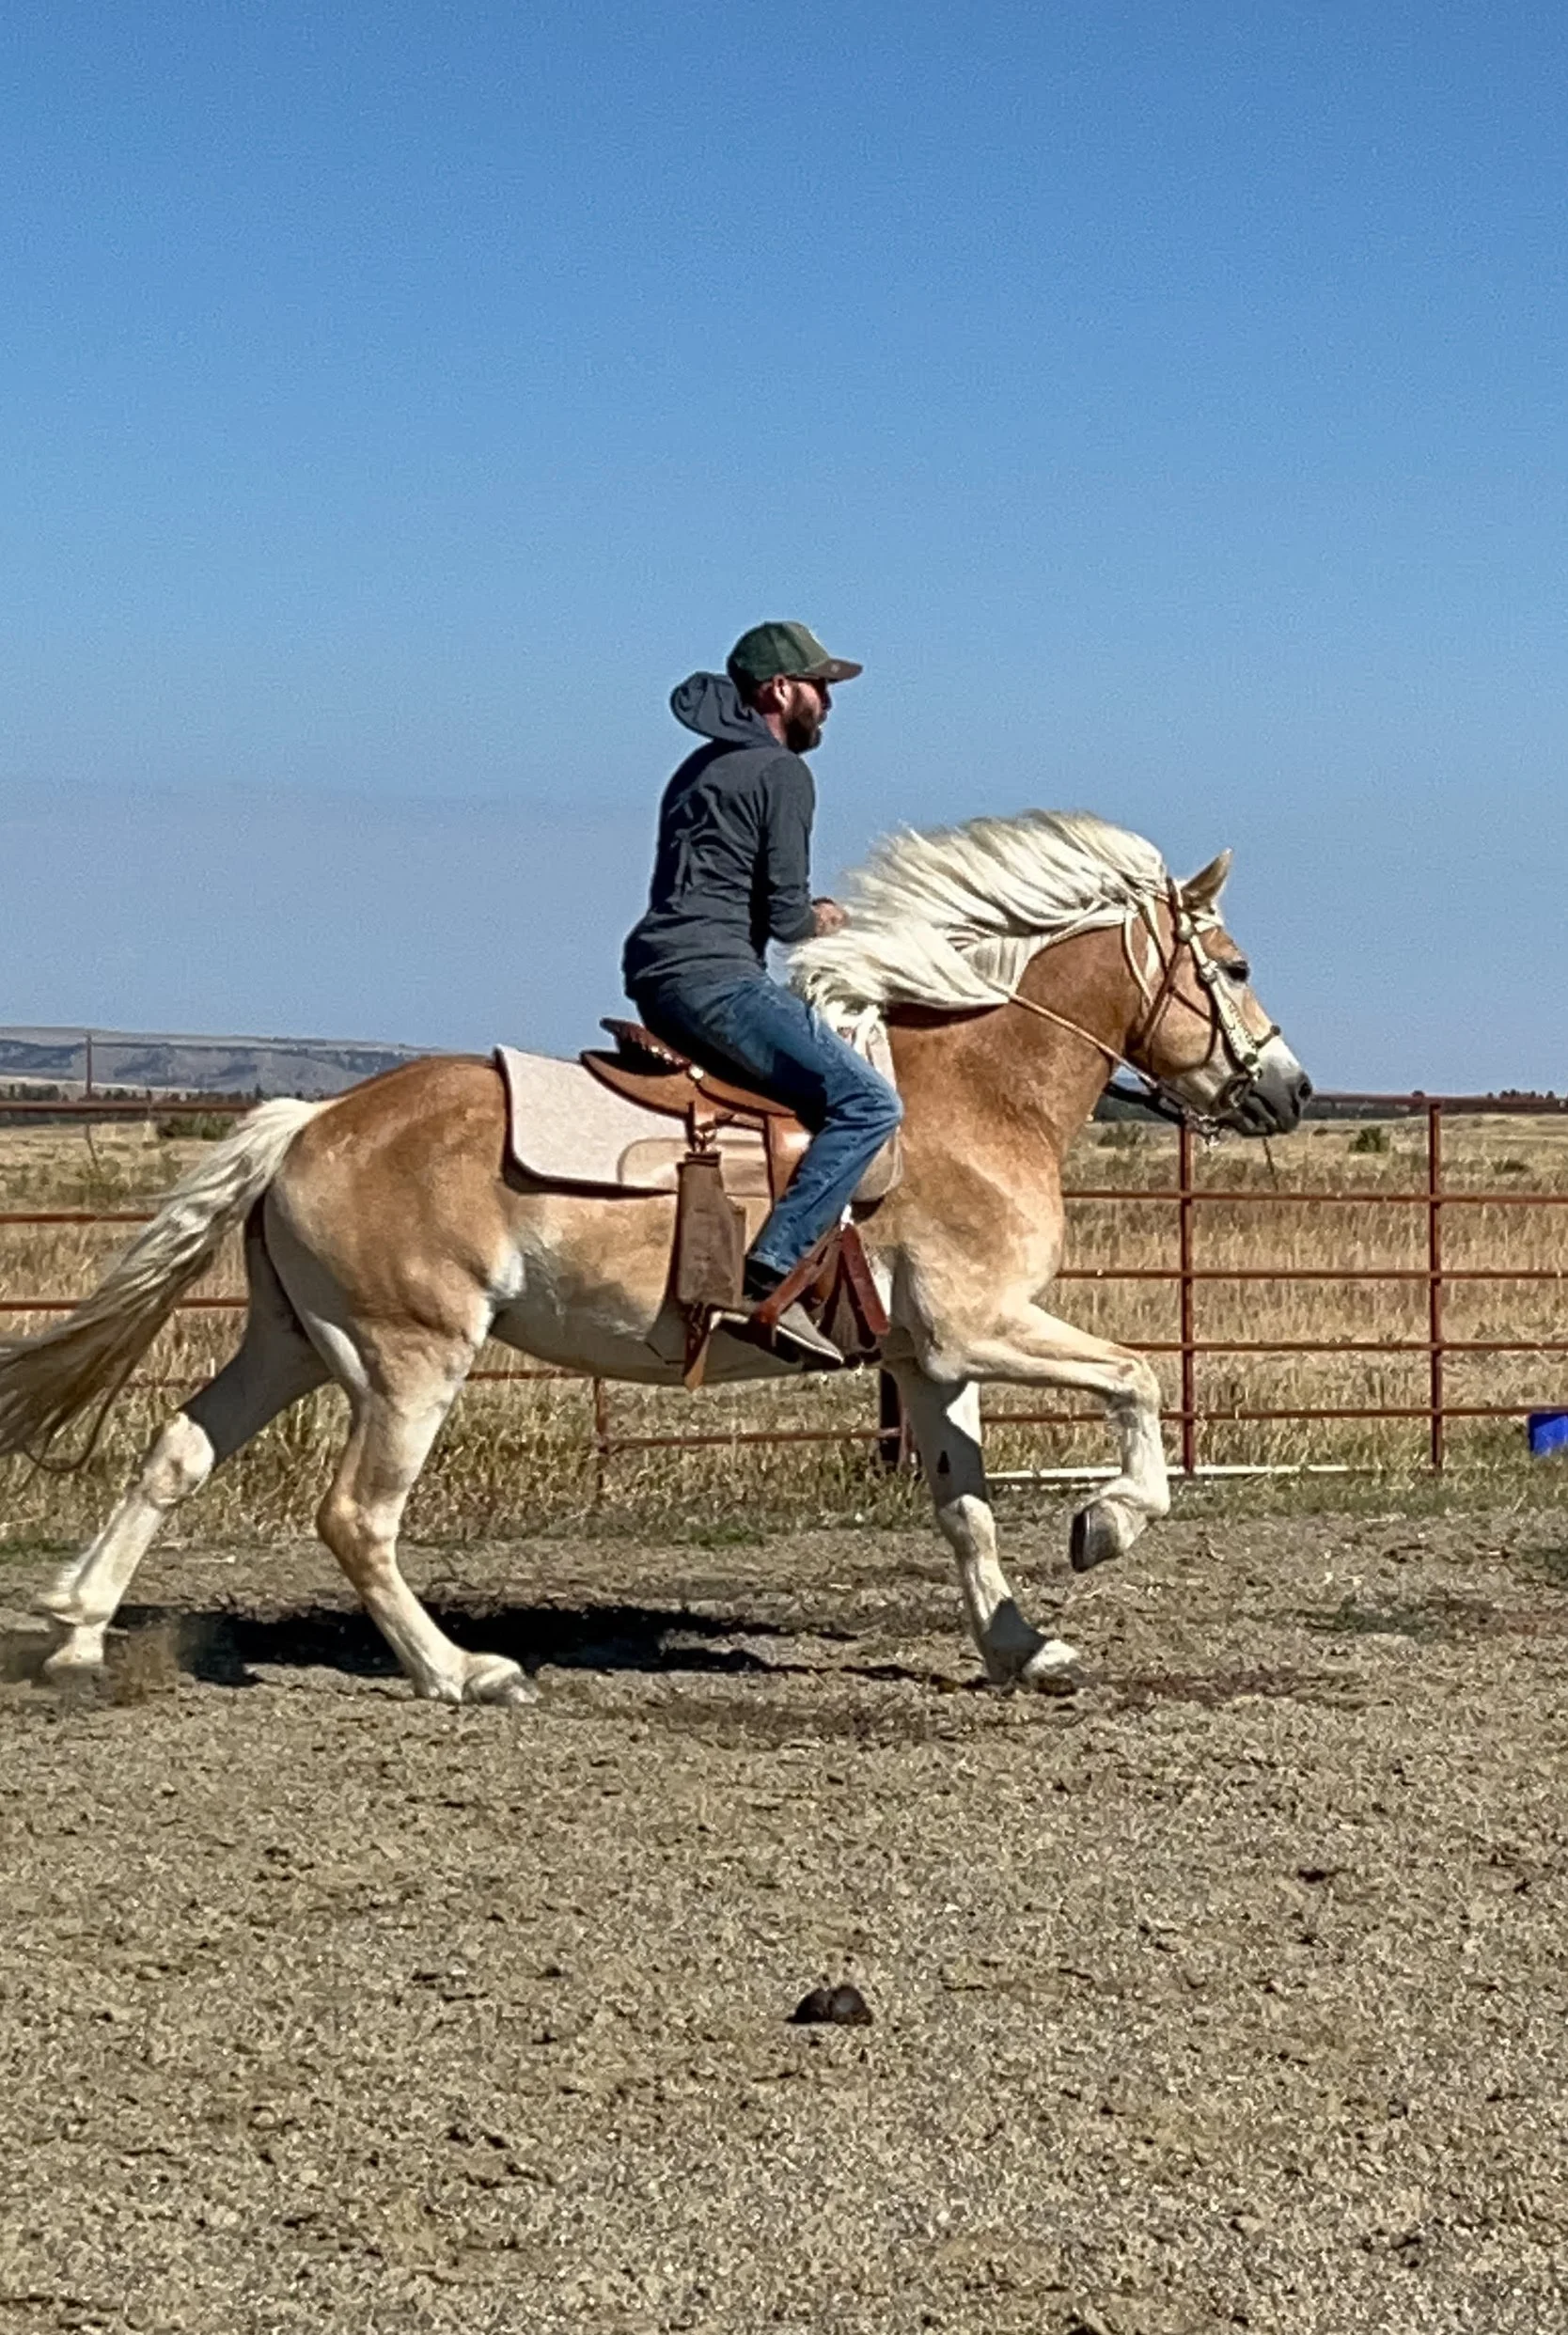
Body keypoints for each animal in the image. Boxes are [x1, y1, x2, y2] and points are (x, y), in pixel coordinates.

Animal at [1, 810, 1310, 1704]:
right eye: (1239, 967)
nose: (1290, 1091)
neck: (973, 1095)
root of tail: (311, 1123)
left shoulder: (931, 1360)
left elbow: (967, 1508)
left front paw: (1021, 1646)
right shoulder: (979, 1325)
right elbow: (1137, 1379)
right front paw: (1107, 1526)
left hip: (294, 1345)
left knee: (176, 1455)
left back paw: (76, 1634)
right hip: (409, 1359)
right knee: (356, 1517)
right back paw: (464, 1671)